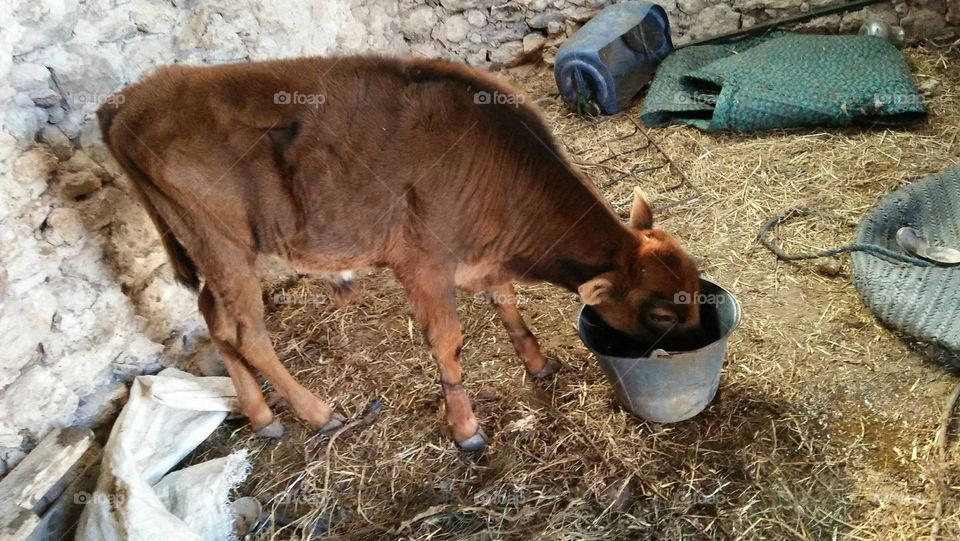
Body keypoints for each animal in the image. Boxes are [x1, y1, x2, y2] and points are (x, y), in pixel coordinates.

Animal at [95, 56, 696, 452]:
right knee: (246, 332)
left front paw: (537, 361)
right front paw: (466, 429)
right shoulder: (424, 265)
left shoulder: (480, 256)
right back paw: (318, 413)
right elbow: (448, 342)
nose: (692, 348)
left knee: (215, 321)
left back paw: (262, 415)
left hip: (210, 256)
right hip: (223, 246)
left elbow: (505, 301)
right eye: (660, 313)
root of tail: (129, 100)